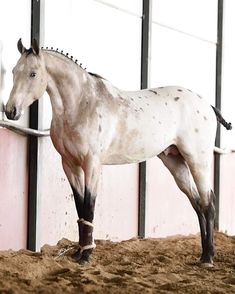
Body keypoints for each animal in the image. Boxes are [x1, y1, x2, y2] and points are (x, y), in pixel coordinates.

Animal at [5, 39, 231, 266]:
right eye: (14, 71)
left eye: (33, 73)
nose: (10, 111)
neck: (82, 104)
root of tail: (207, 105)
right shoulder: (69, 165)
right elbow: (80, 207)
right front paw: (79, 252)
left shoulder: (92, 165)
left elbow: (89, 206)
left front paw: (86, 256)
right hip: (175, 163)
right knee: (197, 203)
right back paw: (203, 254)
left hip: (197, 160)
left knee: (208, 203)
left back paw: (208, 257)